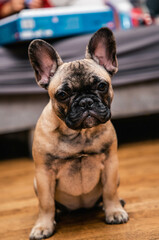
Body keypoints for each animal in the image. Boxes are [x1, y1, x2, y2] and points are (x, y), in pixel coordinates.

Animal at [28, 27, 128, 240]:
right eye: (62, 95)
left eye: (102, 86)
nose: (86, 102)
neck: (80, 134)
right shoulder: (44, 174)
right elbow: (46, 203)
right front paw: (43, 226)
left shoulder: (110, 164)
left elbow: (109, 192)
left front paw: (114, 211)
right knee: (52, 205)